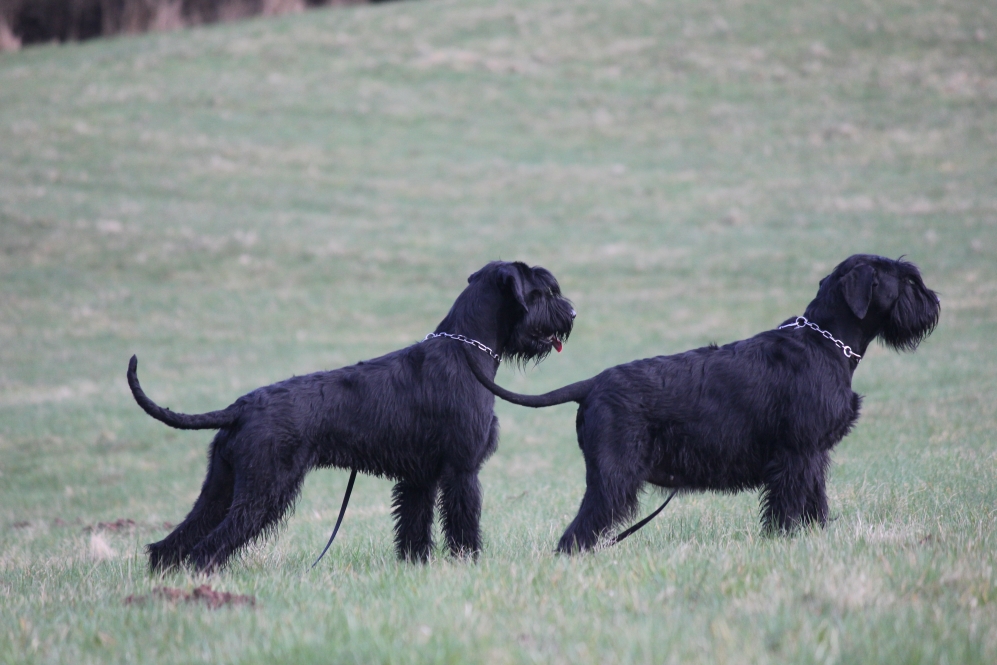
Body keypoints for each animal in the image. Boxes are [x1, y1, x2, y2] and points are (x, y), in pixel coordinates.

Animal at [130, 260, 576, 572]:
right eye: (542, 292)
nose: (571, 313)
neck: (466, 351)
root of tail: (240, 407)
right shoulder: (462, 470)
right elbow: (463, 523)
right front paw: (469, 563)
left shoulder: (420, 477)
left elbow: (414, 526)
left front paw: (415, 568)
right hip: (264, 487)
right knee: (210, 544)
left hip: (221, 485)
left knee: (176, 540)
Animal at [470, 253, 936, 548]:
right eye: (908, 280)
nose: (935, 303)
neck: (825, 342)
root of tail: (591, 383)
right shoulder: (796, 456)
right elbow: (787, 509)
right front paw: (784, 543)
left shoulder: (814, 457)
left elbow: (815, 504)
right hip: (614, 477)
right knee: (578, 532)